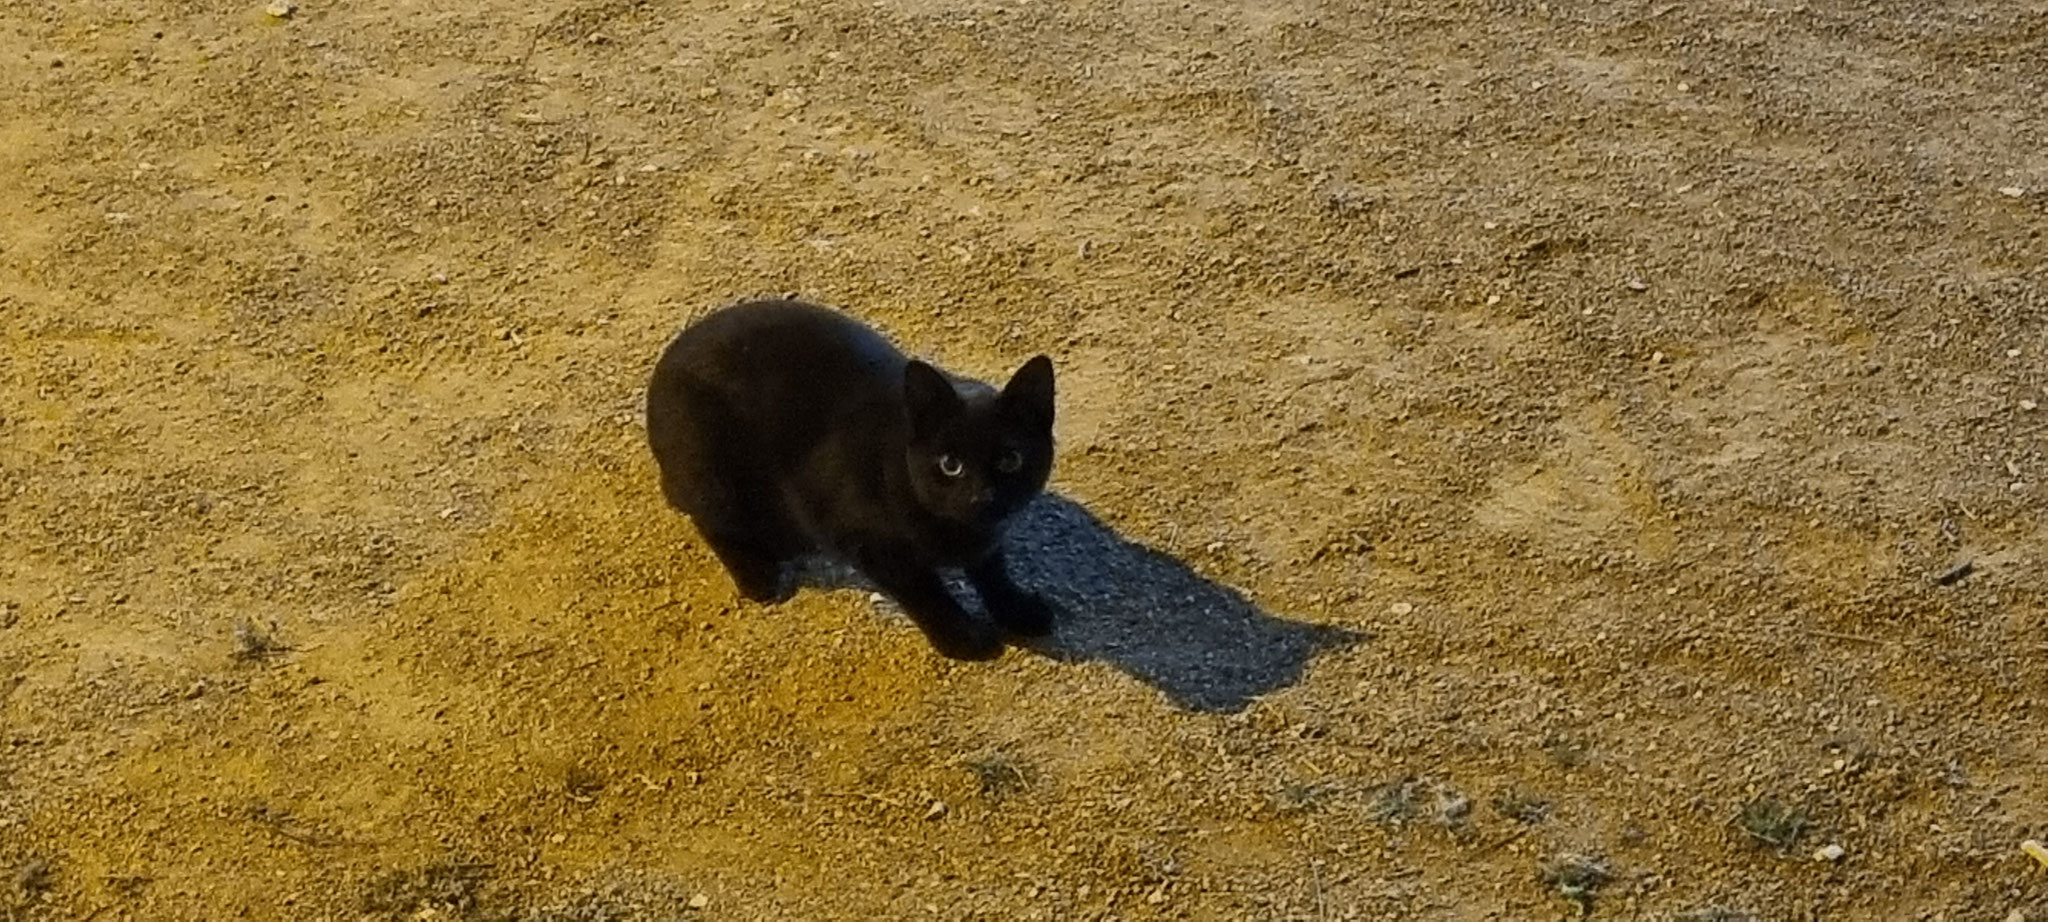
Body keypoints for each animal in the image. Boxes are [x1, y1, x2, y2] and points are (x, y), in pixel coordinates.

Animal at [643, 299, 1064, 659]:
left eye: (1010, 460)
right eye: (950, 464)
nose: (981, 496)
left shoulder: (987, 537)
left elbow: (994, 570)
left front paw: (1017, 609)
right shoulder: (868, 542)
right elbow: (925, 591)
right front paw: (962, 637)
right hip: (710, 472)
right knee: (712, 520)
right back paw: (757, 575)